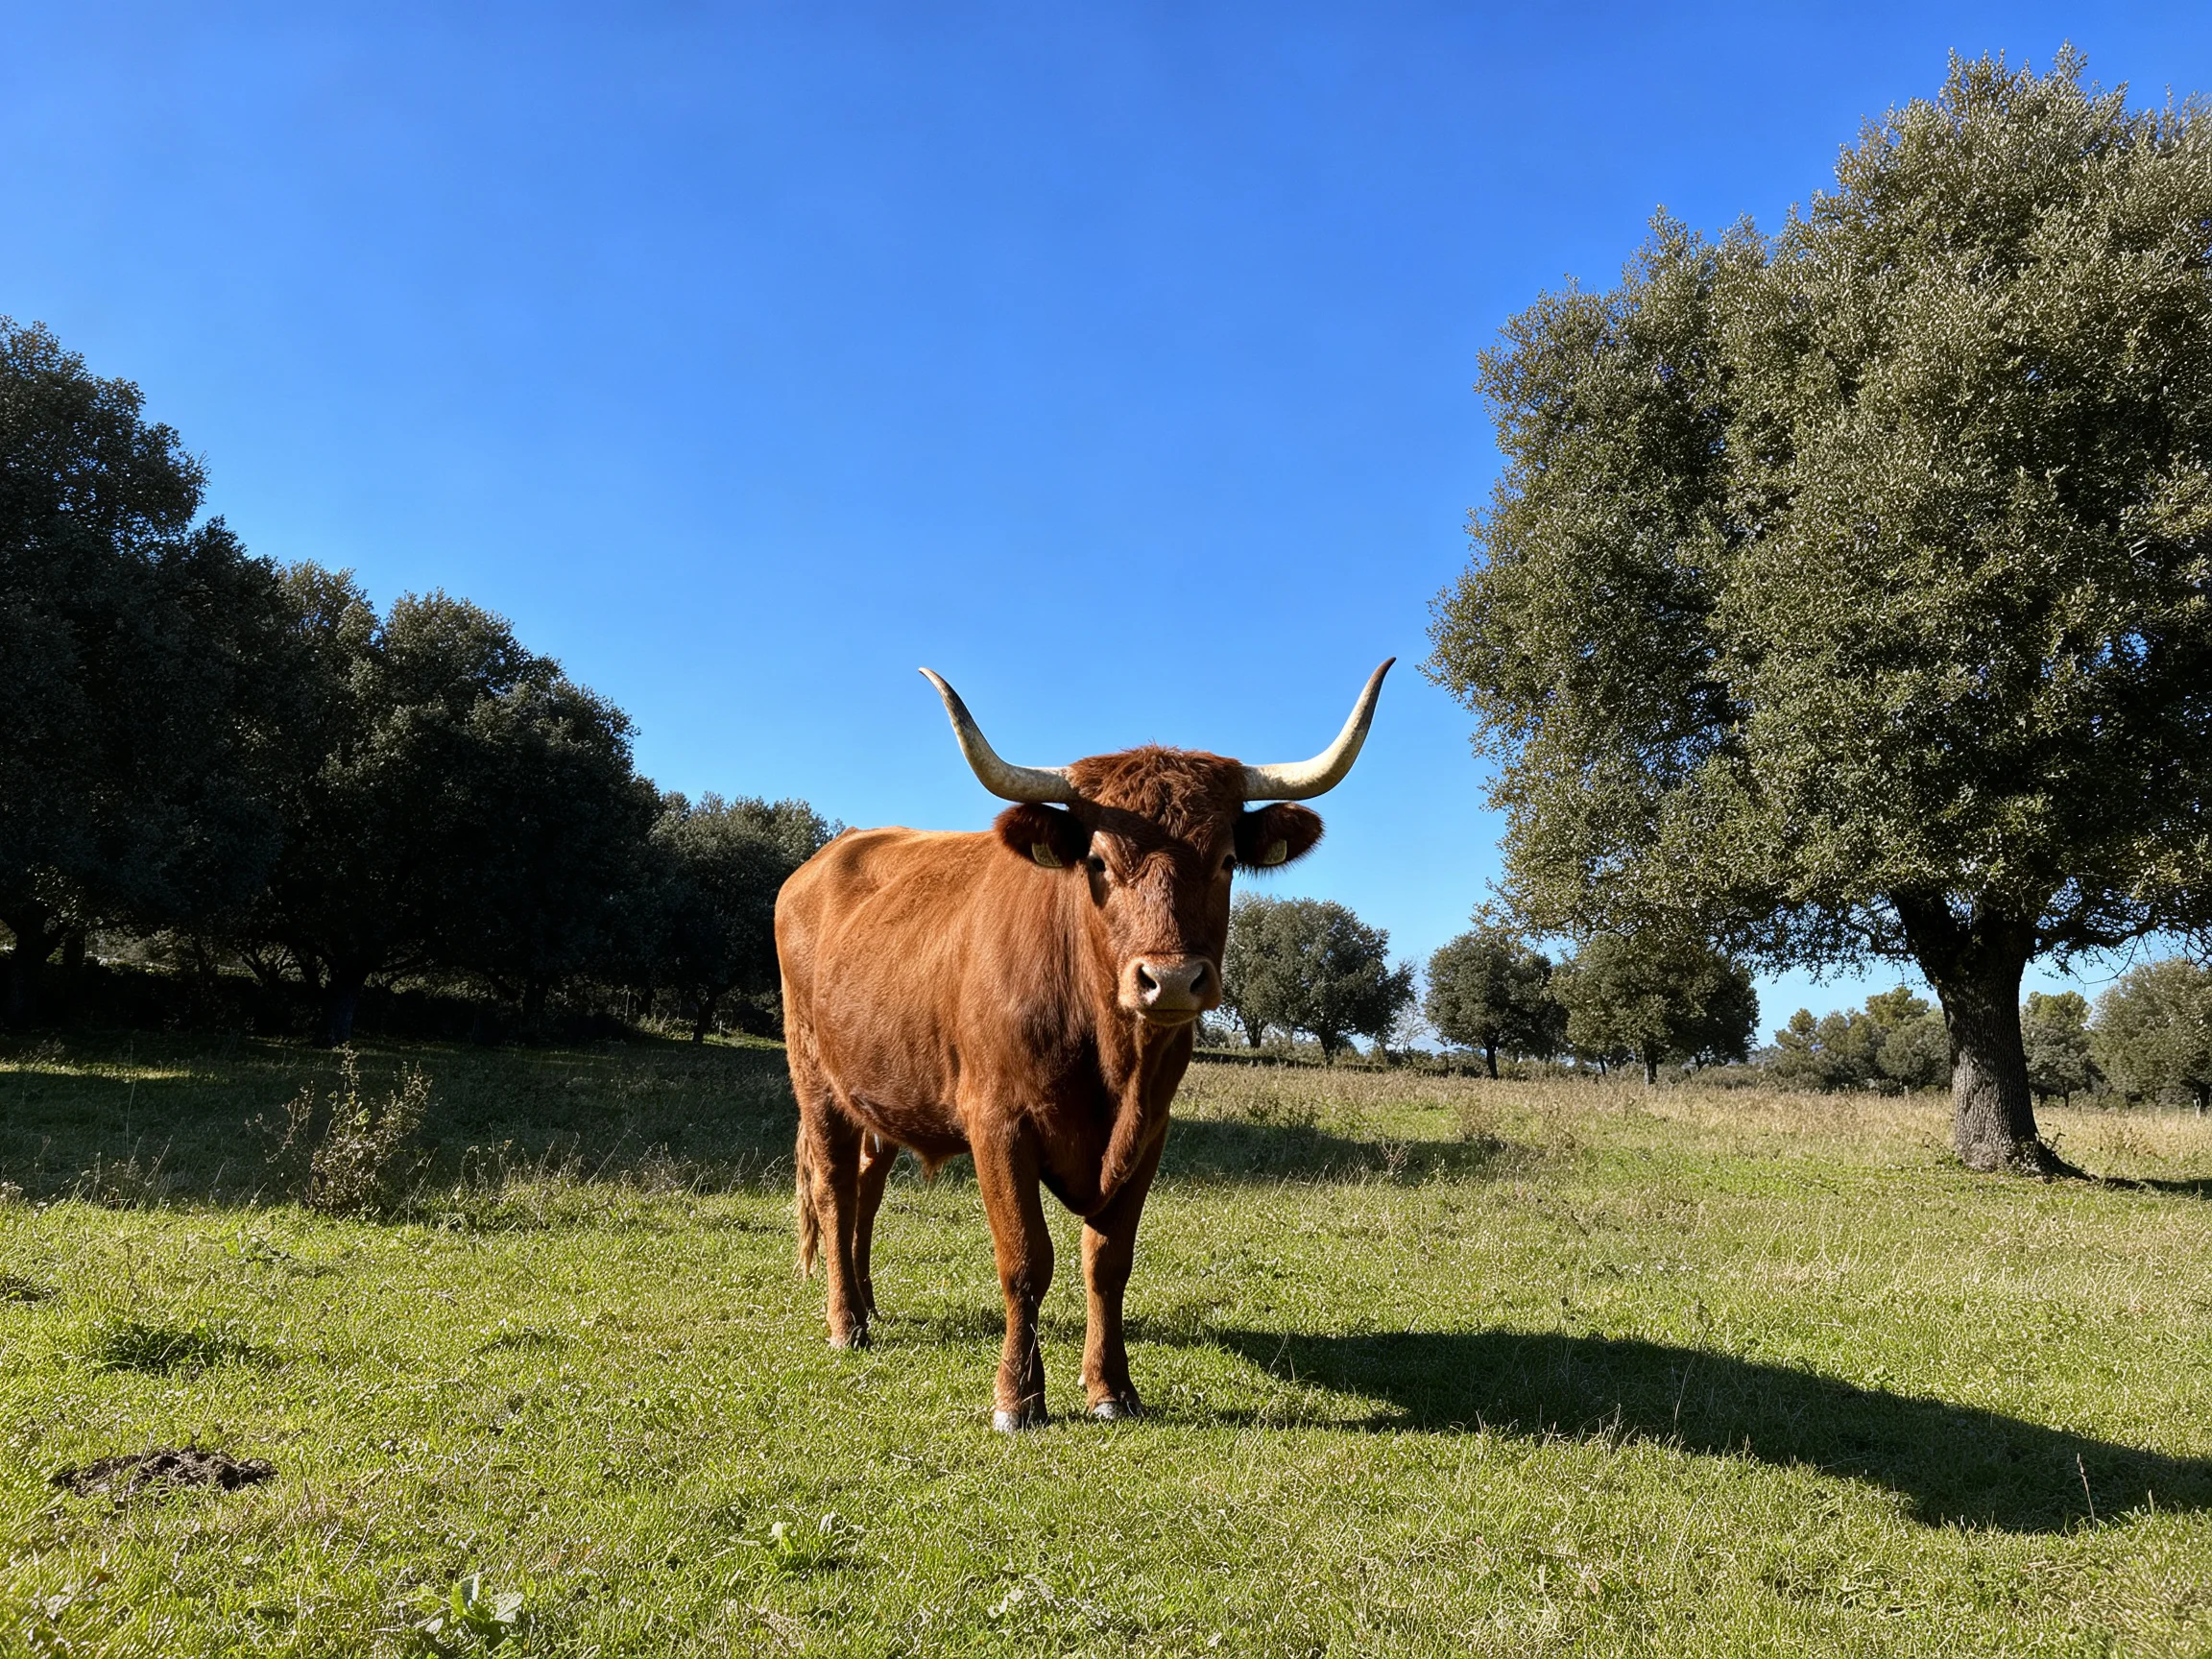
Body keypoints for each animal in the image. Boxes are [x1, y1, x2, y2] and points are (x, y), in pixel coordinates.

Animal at [775, 660, 1391, 1430]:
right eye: (1097, 860)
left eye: (1225, 860)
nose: (1171, 979)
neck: (1111, 1062)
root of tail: (836, 849)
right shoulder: (997, 1125)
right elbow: (1025, 1260)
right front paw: (1017, 1398)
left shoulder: (1149, 1133)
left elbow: (1107, 1260)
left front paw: (1111, 1388)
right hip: (816, 1079)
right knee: (833, 1189)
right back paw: (845, 1323)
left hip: (881, 1093)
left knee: (866, 1186)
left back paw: (867, 1304)